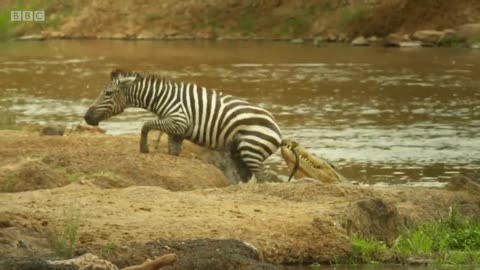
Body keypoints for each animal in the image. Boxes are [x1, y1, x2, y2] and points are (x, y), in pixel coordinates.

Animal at [84, 70, 298, 184]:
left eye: (108, 93)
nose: (86, 117)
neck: (162, 98)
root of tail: (278, 131)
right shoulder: (176, 132)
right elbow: (173, 152)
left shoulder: (179, 122)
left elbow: (146, 124)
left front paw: (143, 147)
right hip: (240, 153)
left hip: (251, 149)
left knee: (262, 177)